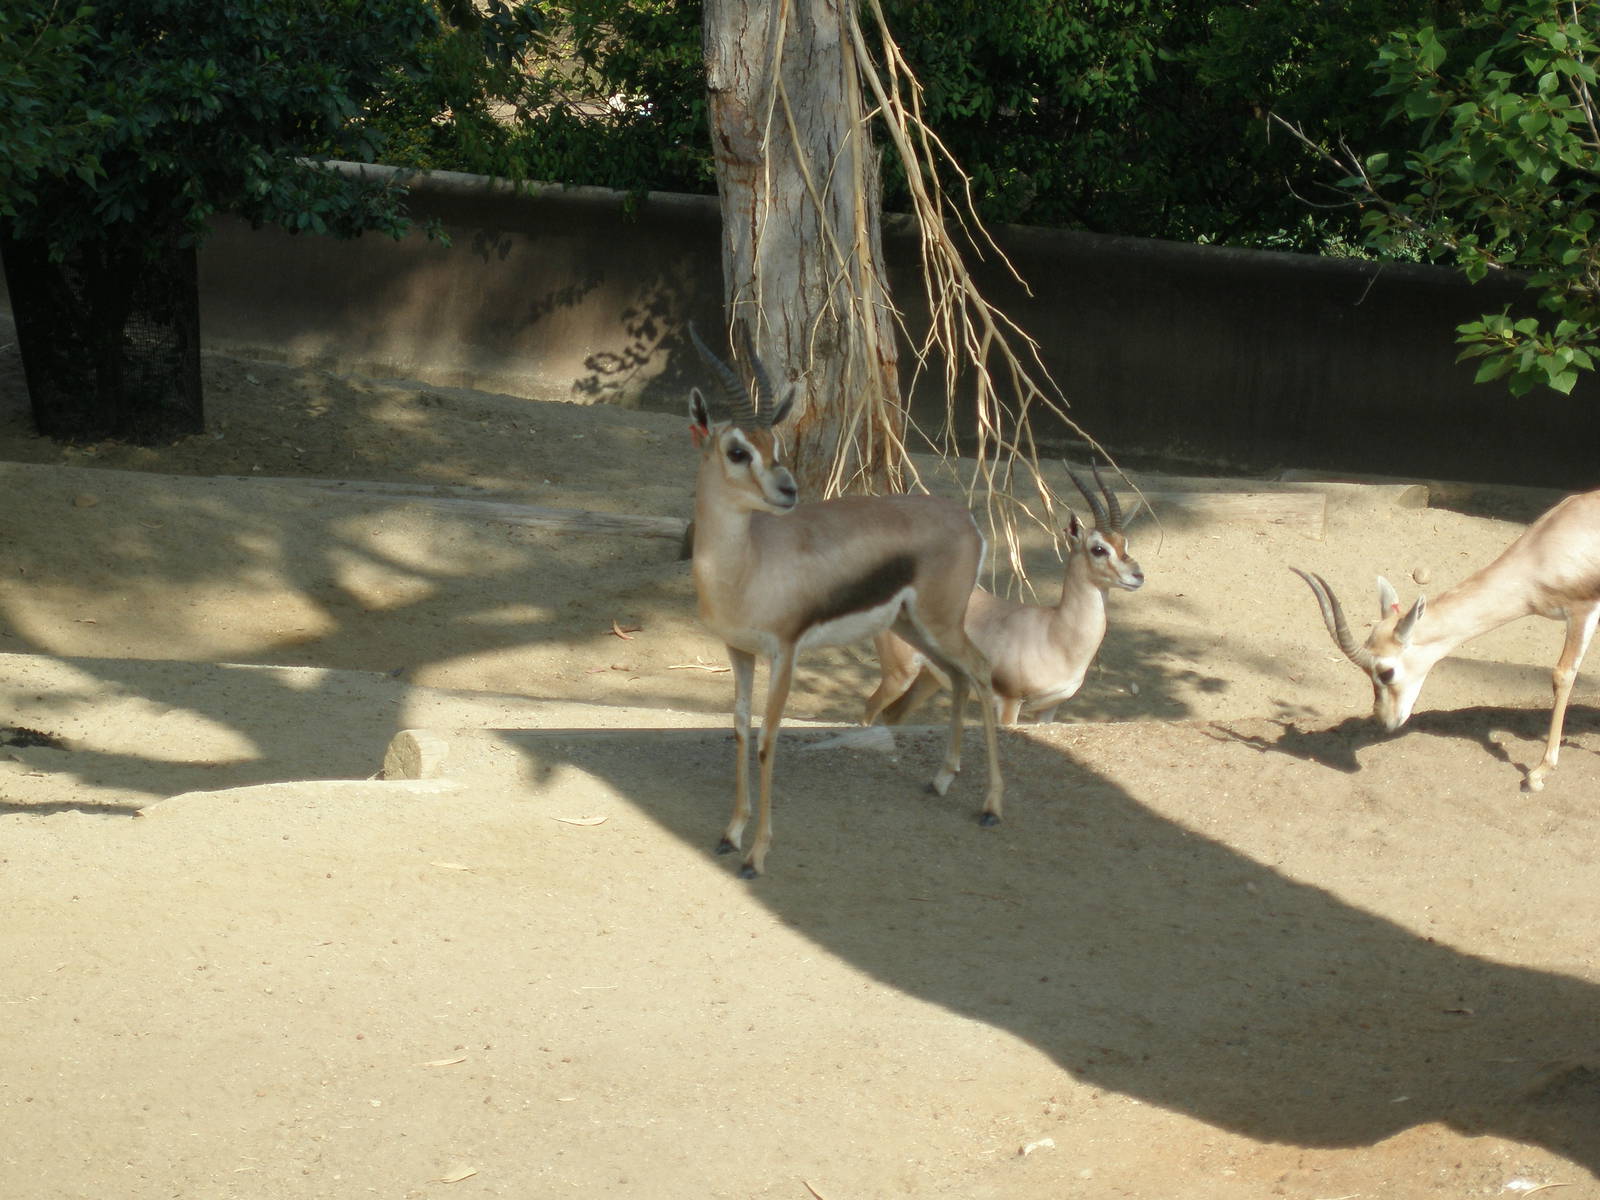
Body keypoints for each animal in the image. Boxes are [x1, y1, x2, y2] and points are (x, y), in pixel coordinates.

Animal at [685, 322, 1004, 877]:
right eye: (738, 450)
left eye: (775, 443)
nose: (788, 490)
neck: (748, 564)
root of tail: (966, 518)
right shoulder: (738, 650)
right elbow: (741, 729)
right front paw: (730, 834)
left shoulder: (785, 652)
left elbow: (768, 739)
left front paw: (757, 855)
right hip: (912, 626)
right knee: (959, 676)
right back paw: (941, 780)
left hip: (939, 622)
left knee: (982, 671)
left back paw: (991, 807)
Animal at [864, 464, 1145, 726]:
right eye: (1098, 548)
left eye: (1124, 543)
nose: (1138, 576)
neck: (1054, 633)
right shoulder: (1010, 702)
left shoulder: (1049, 709)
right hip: (900, 673)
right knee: (870, 708)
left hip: (929, 678)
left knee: (892, 715)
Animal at [1293, 488, 1600, 791]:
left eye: (1386, 672)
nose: (1385, 721)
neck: (1545, 550)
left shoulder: (1582, 610)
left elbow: (1562, 675)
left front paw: (1538, 773)